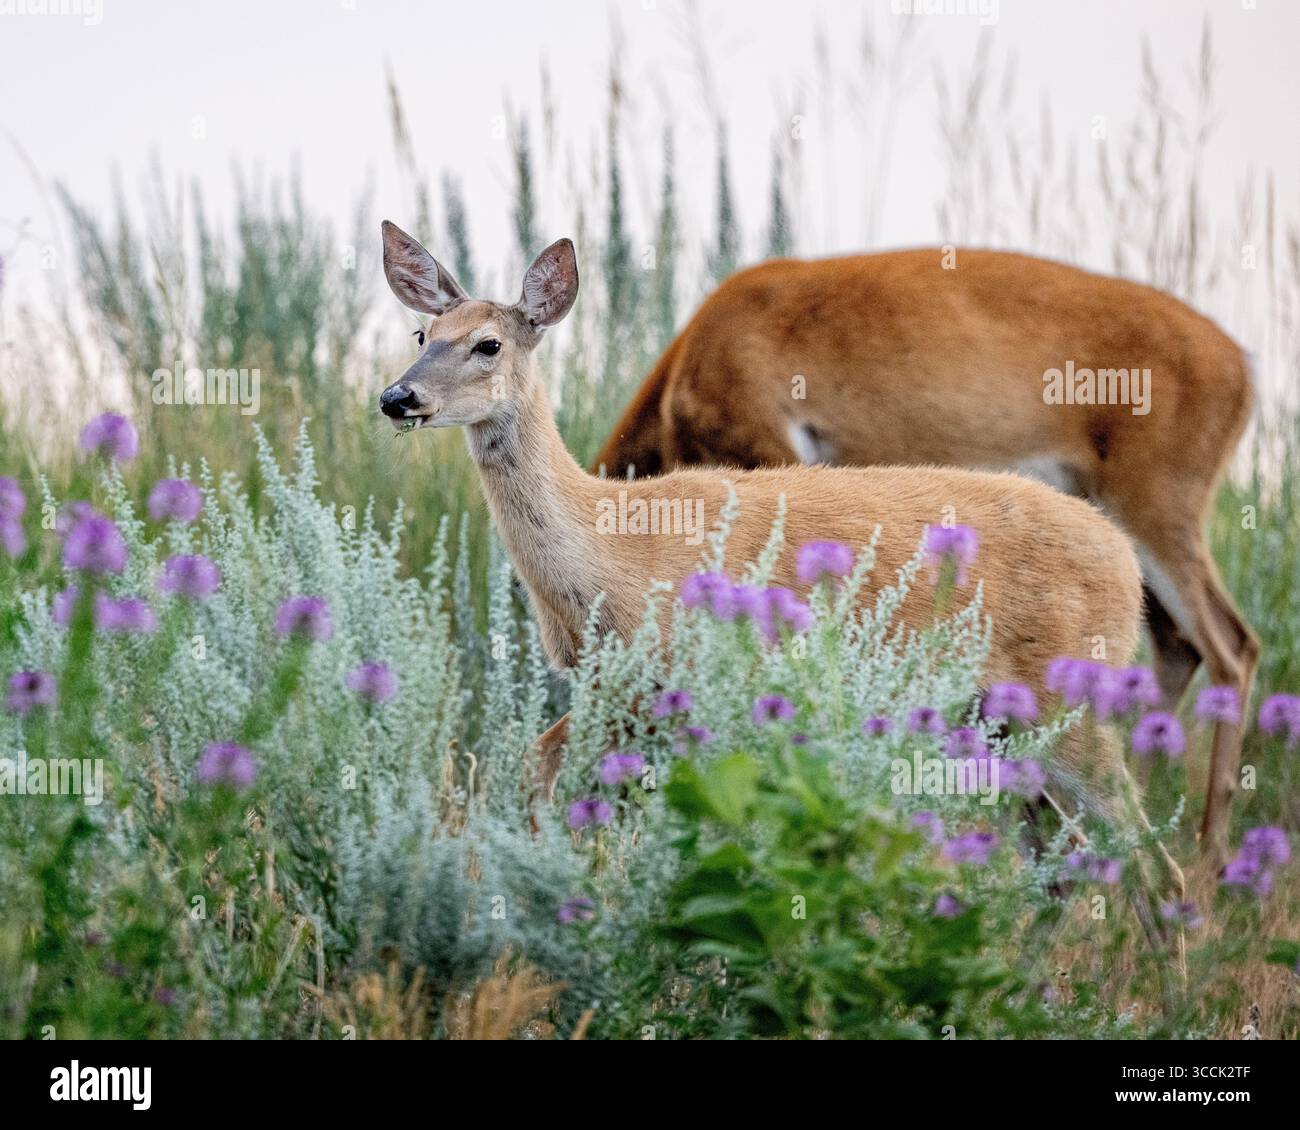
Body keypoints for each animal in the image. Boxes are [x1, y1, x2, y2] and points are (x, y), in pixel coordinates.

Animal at [377, 221, 1184, 945]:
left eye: (489, 343)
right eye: (421, 335)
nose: (397, 398)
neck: (614, 550)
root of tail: (1124, 562)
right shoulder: (617, 695)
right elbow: (535, 774)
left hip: (1070, 698)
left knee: (1149, 864)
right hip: (1002, 724)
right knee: (1056, 870)